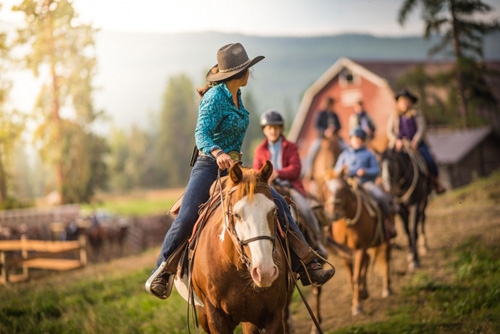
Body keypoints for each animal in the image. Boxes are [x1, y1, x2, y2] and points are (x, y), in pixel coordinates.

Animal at [320, 170, 390, 316]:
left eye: (343, 188)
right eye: (325, 189)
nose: (332, 213)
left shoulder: (359, 249)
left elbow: (356, 277)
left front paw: (357, 306)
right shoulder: (346, 253)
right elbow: (351, 278)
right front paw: (359, 296)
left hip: (385, 241)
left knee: (385, 259)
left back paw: (387, 288)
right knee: (367, 261)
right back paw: (364, 291)